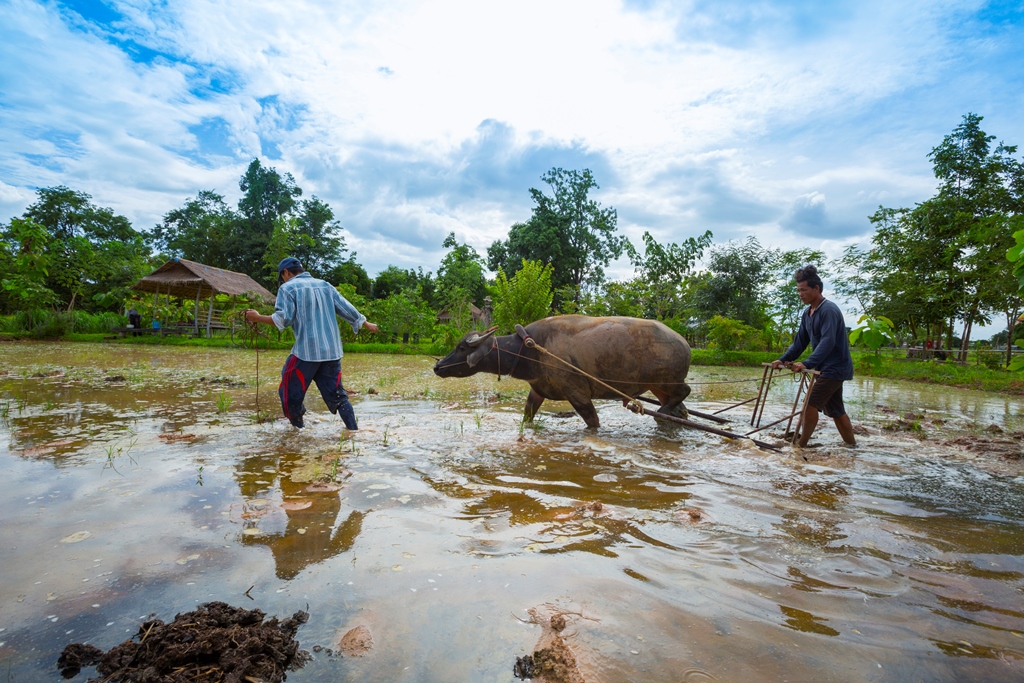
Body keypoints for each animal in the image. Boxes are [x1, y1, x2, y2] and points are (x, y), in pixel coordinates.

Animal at [428, 313, 692, 428]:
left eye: (461, 347)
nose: (438, 366)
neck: (529, 350)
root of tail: (684, 342)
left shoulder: (577, 393)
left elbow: (592, 421)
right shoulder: (537, 390)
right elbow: (527, 415)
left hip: (668, 381)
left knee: (684, 392)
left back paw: (662, 413)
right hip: (658, 387)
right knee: (681, 409)